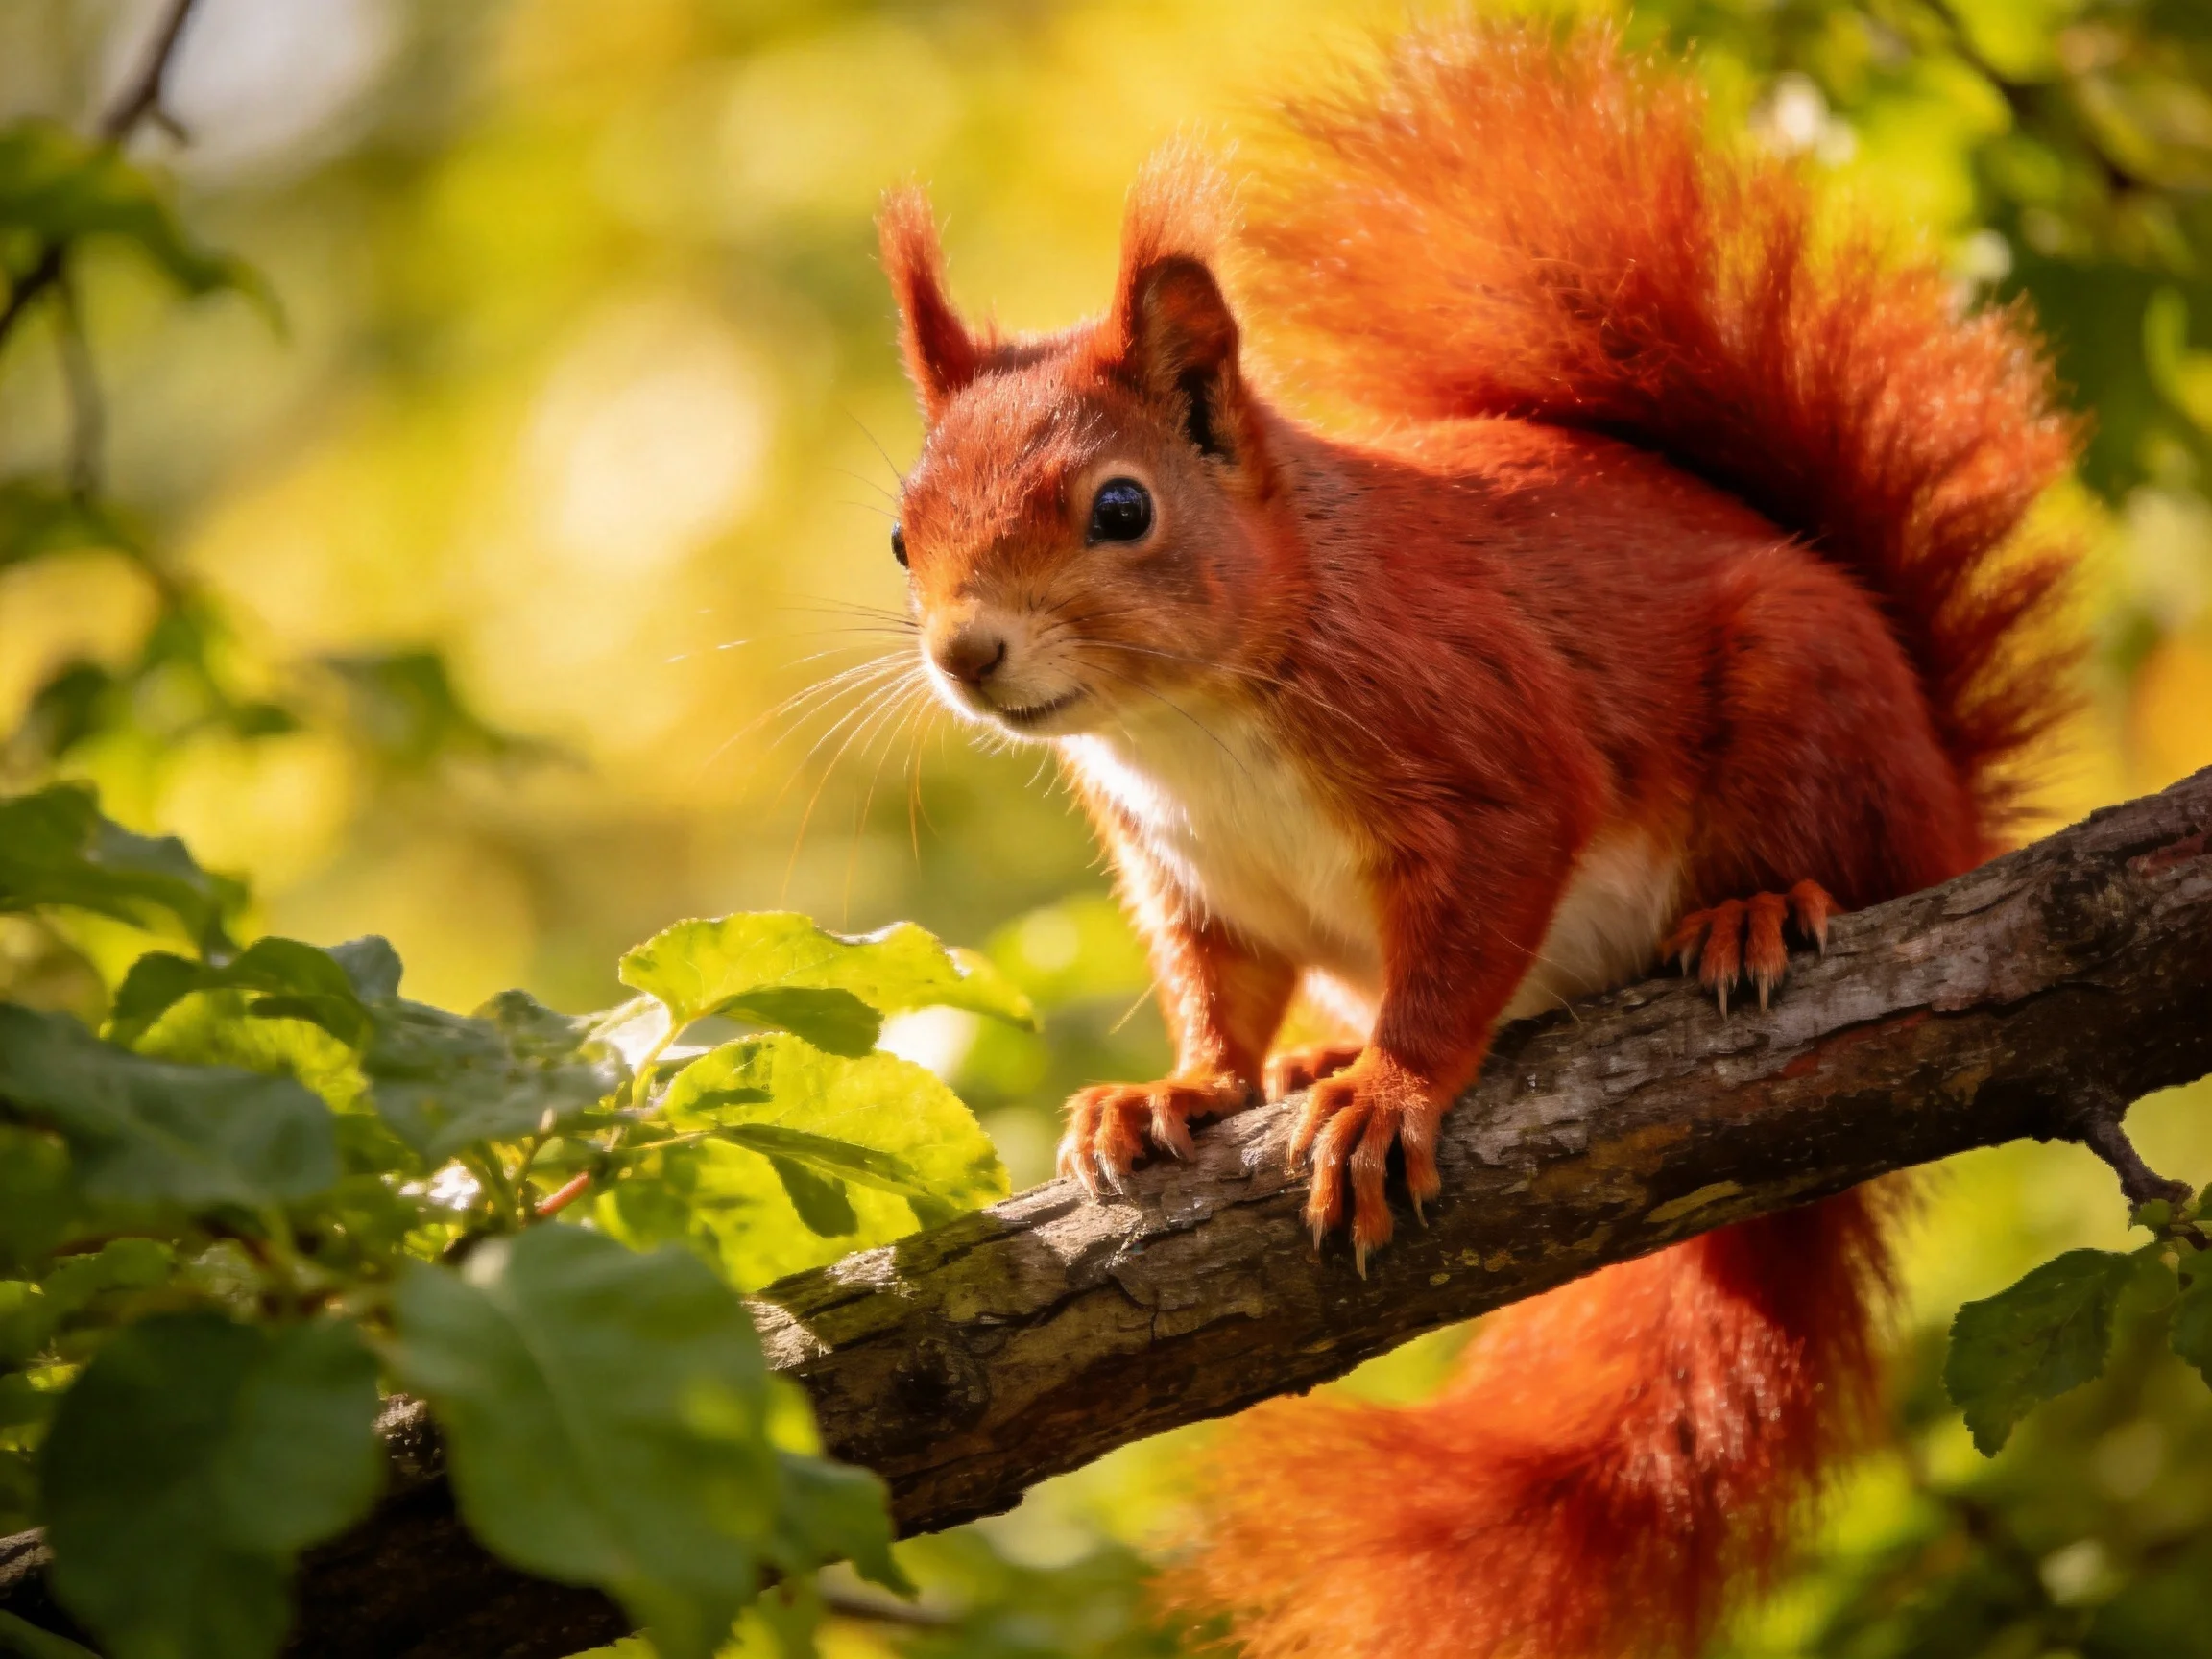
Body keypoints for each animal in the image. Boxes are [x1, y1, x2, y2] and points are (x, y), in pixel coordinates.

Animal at [877, 19, 2077, 1659]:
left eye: (1121, 508)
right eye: (900, 533)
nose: (967, 654)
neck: (1189, 721)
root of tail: (1952, 791)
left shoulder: (1485, 751)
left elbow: (1467, 941)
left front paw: (1389, 1091)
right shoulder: (1193, 879)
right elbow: (1219, 990)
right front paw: (1181, 1088)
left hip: (1808, 692)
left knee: (1840, 860)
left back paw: (1756, 912)